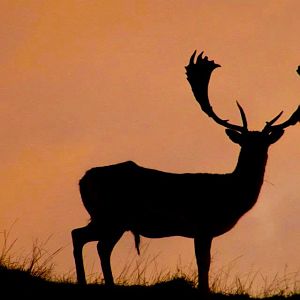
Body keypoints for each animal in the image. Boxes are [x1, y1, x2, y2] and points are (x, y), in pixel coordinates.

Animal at [71, 50, 300, 294]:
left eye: (264, 144)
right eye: (244, 143)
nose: (256, 156)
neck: (230, 194)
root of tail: (82, 180)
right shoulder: (202, 225)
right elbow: (204, 263)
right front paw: (204, 289)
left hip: (110, 218)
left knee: (94, 243)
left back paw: (104, 283)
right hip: (112, 215)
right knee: (85, 238)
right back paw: (86, 281)